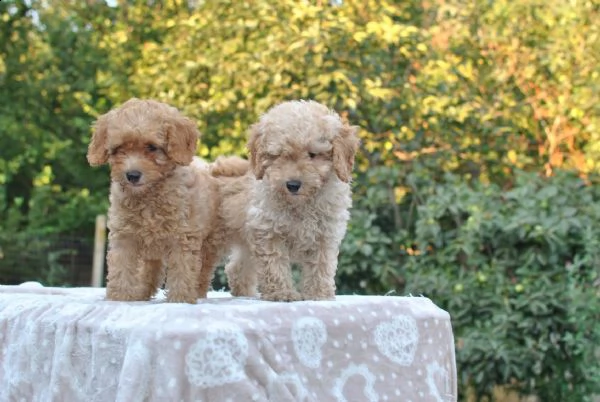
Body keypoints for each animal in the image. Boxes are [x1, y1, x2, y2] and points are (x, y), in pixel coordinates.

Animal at [86, 99, 223, 304]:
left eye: (151, 147)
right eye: (119, 149)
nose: (132, 175)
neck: (149, 195)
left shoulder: (183, 236)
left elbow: (183, 269)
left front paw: (180, 299)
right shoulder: (125, 235)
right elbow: (121, 267)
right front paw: (120, 297)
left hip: (209, 241)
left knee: (203, 271)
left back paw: (197, 293)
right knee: (150, 270)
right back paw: (140, 293)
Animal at [213, 100, 358, 302]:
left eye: (312, 154)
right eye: (279, 155)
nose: (293, 184)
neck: (300, 204)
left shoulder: (325, 234)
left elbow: (321, 265)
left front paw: (318, 294)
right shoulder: (268, 231)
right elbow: (275, 264)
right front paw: (283, 294)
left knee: (237, 266)